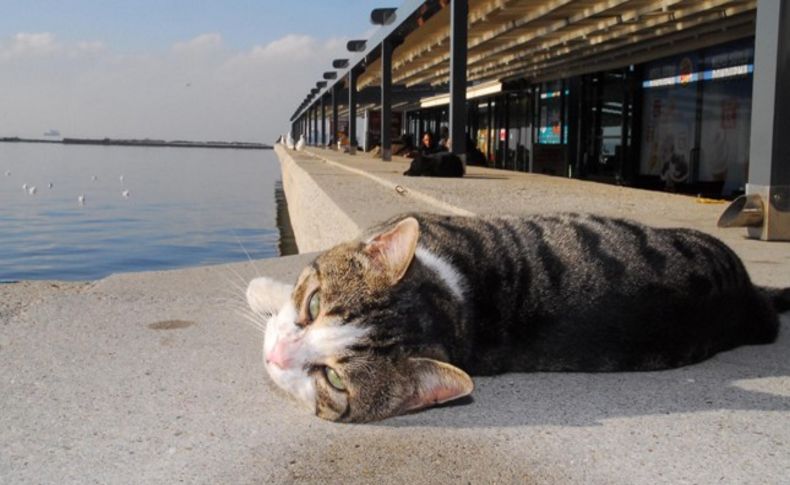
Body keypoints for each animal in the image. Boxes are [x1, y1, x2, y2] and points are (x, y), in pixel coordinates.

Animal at [244, 212, 788, 420]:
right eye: (315, 305)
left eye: (335, 380)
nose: (275, 355)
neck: (460, 302)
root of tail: (748, 300)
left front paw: (262, 288)